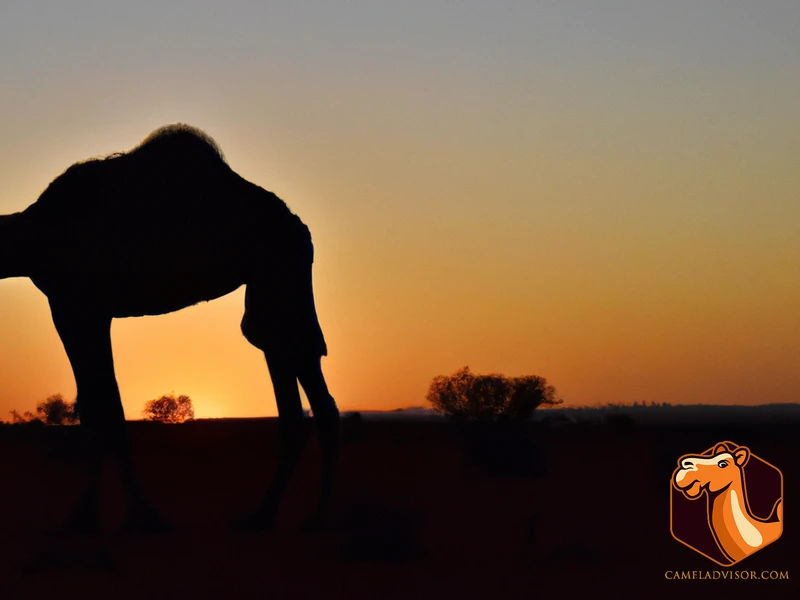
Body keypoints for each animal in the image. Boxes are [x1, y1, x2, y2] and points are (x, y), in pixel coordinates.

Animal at [0, 123, 340, 536]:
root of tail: (301, 228)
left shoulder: (76, 306)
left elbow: (103, 408)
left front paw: (108, 518)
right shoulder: (86, 311)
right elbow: (103, 405)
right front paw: (119, 516)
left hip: (278, 275)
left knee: (297, 373)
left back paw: (301, 518)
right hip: (276, 288)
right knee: (297, 384)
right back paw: (273, 517)